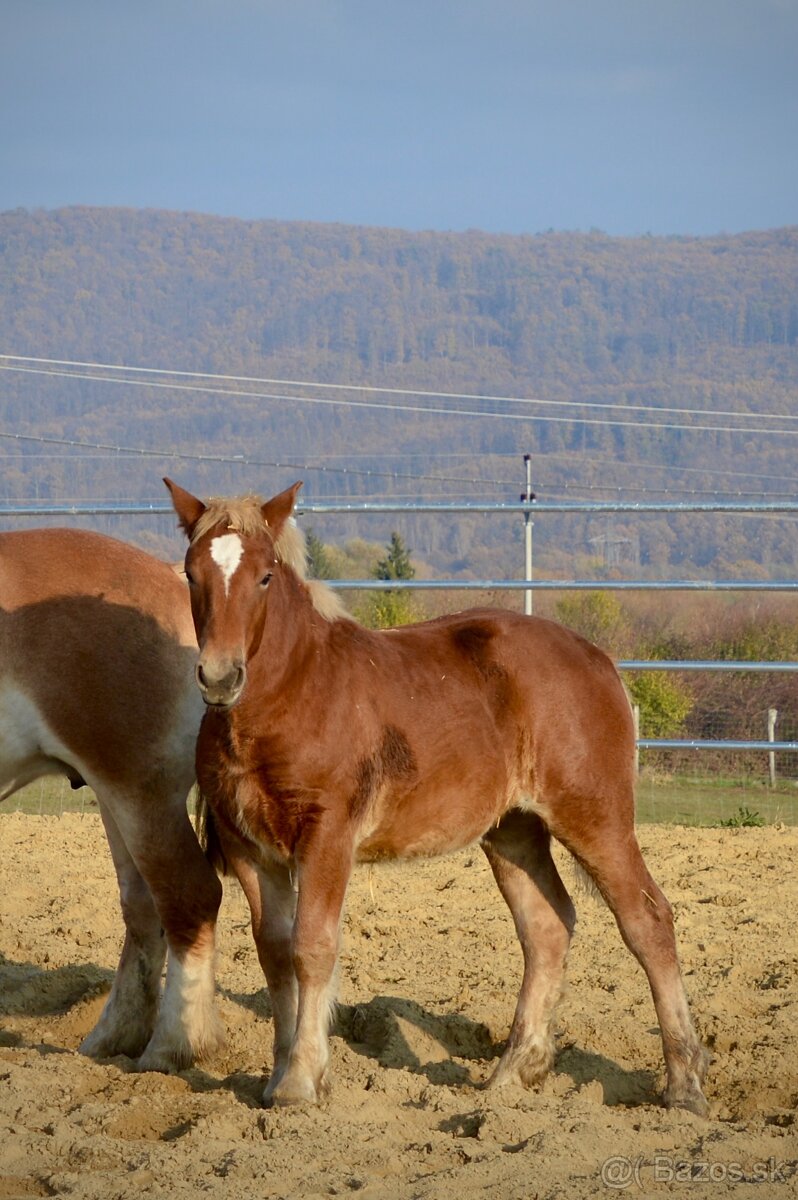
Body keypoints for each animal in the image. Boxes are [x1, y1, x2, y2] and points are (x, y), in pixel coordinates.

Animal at [0, 530, 220, 1075]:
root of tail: (169, 577)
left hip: (139, 796)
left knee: (189, 898)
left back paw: (172, 1047)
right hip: (113, 798)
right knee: (143, 910)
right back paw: (112, 1039)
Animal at [166, 477, 710, 1113]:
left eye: (265, 577)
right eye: (191, 573)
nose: (219, 677)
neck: (294, 695)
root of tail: (599, 659)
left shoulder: (327, 838)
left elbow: (312, 947)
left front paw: (302, 1083)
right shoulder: (249, 849)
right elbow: (274, 953)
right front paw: (277, 1080)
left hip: (594, 818)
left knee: (648, 921)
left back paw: (684, 1085)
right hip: (513, 832)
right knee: (547, 927)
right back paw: (511, 1076)